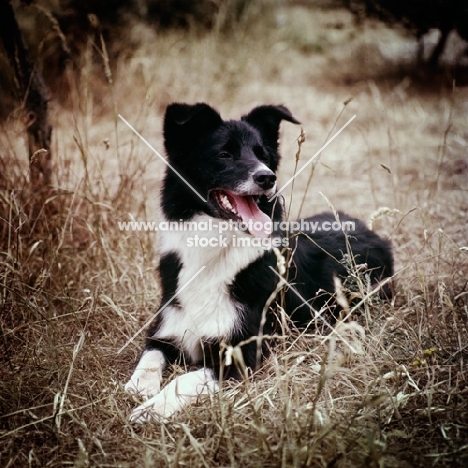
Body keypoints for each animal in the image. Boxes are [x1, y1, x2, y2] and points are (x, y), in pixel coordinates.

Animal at [123, 103, 392, 424]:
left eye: (262, 154)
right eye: (224, 154)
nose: (267, 178)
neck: (216, 249)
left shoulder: (239, 355)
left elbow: (183, 379)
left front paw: (152, 408)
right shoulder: (164, 328)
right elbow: (149, 356)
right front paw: (139, 387)